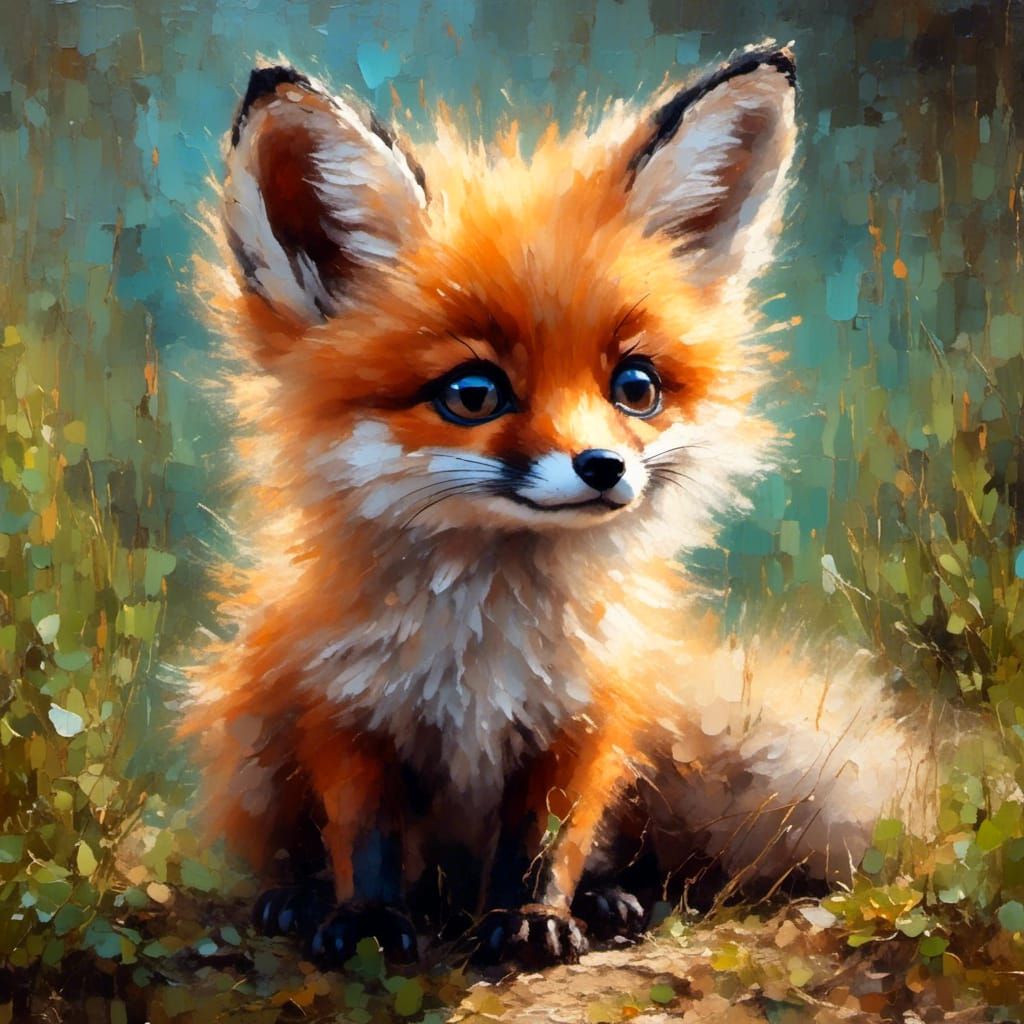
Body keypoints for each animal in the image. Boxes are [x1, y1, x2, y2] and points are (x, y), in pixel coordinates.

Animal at [183, 43, 945, 967]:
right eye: (472, 394)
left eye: (637, 387)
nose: (605, 467)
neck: (487, 648)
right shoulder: (344, 705)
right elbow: (361, 833)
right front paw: (363, 919)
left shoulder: (587, 715)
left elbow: (552, 837)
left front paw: (536, 917)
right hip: (252, 733)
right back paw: (294, 901)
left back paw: (612, 899)